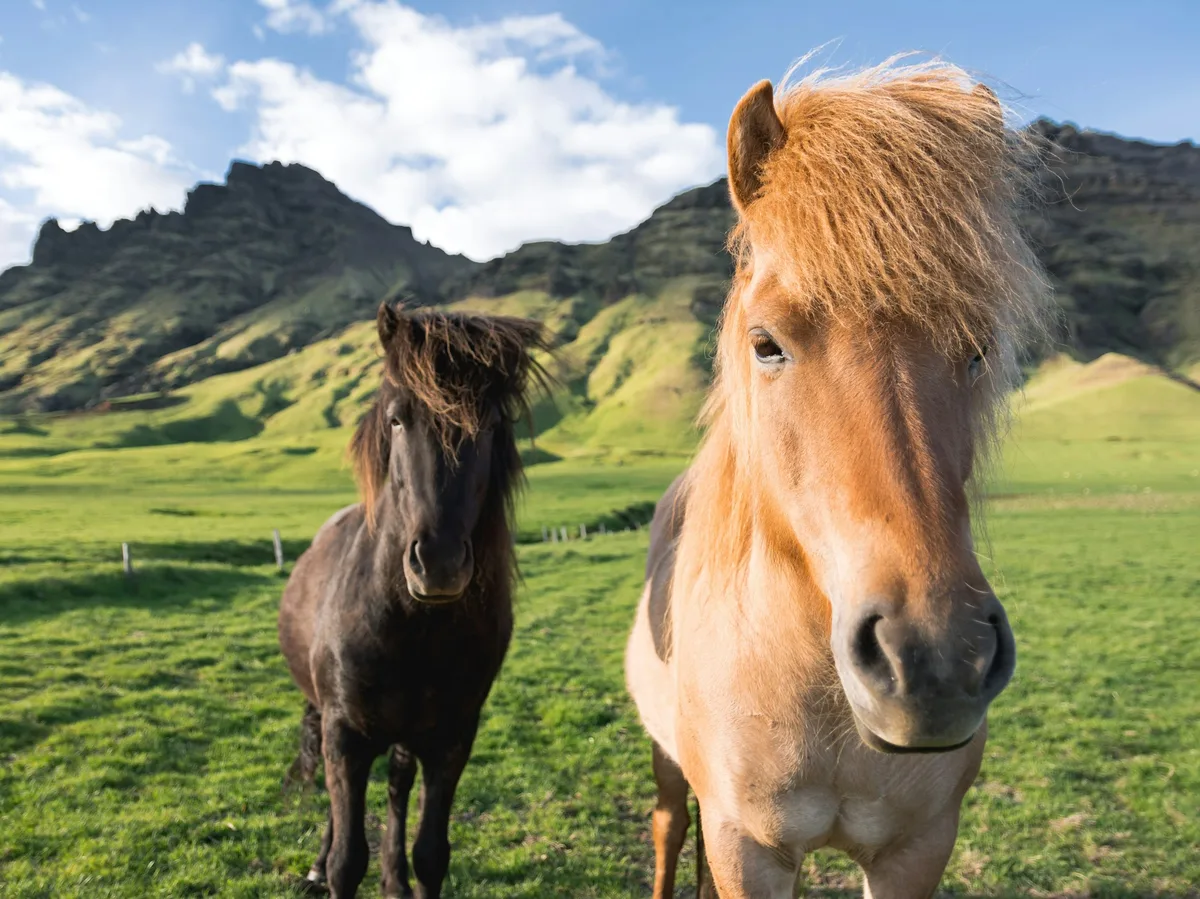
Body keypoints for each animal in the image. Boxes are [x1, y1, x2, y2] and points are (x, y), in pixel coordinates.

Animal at [278, 303, 550, 898]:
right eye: (398, 418)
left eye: (491, 424)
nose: (440, 563)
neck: (410, 627)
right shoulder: (345, 735)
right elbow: (347, 859)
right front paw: (329, 865)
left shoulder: (452, 739)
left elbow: (430, 854)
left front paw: (402, 874)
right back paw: (317, 863)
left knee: (398, 788)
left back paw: (393, 879)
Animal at [625, 58, 1052, 898]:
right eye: (766, 343)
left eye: (979, 349)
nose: (935, 661)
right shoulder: (745, 846)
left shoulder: (917, 847)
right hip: (669, 767)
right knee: (665, 826)